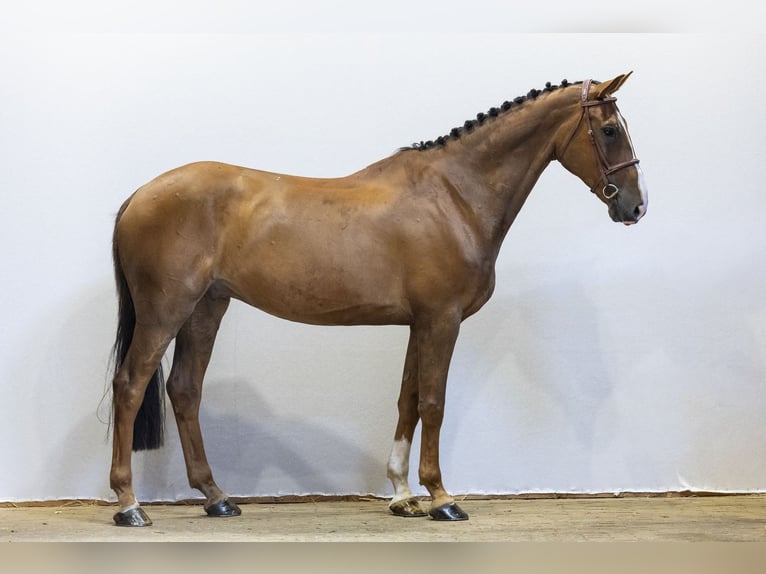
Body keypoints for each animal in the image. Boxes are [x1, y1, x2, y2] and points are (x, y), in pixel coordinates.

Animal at [109, 73, 647, 526]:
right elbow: (433, 402)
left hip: (206, 308)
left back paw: (216, 497)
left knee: (184, 390)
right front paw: (441, 498)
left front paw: (402, 495)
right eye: (608, 130)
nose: (635, 207)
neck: (454, 196)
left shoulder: (418, 322)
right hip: (166, 310)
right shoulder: (442, 319)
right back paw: (129, 505)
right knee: (131, 385)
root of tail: (139, 195)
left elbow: (407, 400)